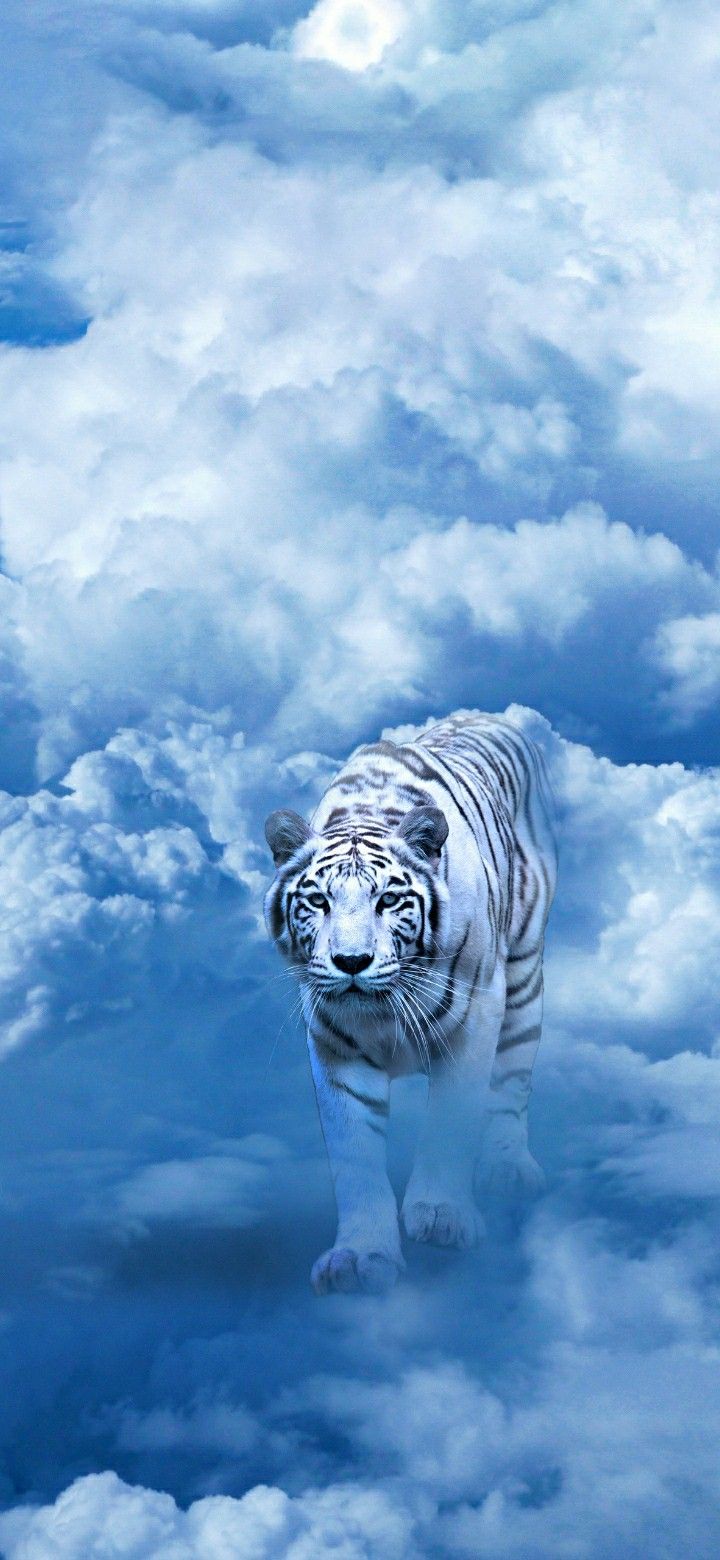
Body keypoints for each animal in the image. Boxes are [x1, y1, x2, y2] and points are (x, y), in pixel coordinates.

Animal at [264, 709, 557, 1295]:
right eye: (318, 901)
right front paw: (360, 1255)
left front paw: (442, 1217)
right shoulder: (334, 1045)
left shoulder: (477, 1018)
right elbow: (354, 1154)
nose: (351, 961)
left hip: (523, 976)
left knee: (512, 1082)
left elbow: (450, 1121)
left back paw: (509, 1170)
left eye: (389, 900)